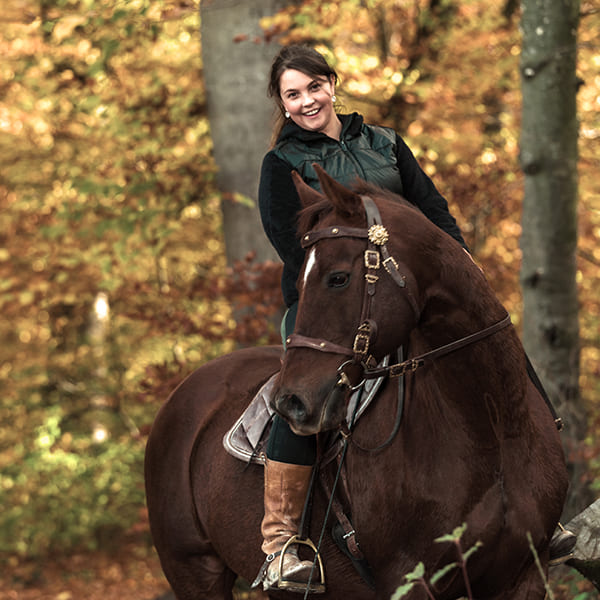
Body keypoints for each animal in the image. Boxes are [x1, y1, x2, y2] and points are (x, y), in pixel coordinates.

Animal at [145, 165, 568, 600]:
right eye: (300, 283)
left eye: (338, 278)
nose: (290, 402)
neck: (490, 426)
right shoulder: (409, 580)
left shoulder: (522, 576)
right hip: (195, 571)